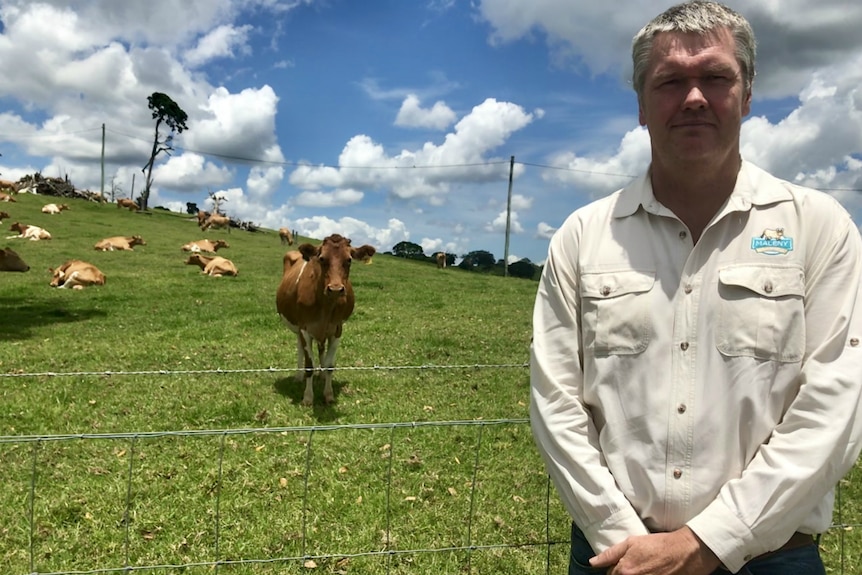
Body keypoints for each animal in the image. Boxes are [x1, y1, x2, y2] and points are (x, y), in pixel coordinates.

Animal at [274, 236, 374, 408]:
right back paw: (298, 377)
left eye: (349, 260)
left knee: (321, 349)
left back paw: (319, 376)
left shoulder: (337, 329)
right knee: (300, 349)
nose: (335, 289)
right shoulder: (304, 328)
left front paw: (328, 394)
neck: (325, 307)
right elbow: (309, 365)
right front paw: (307, 397)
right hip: (298, 328)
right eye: (321, 258)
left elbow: (329, 365)